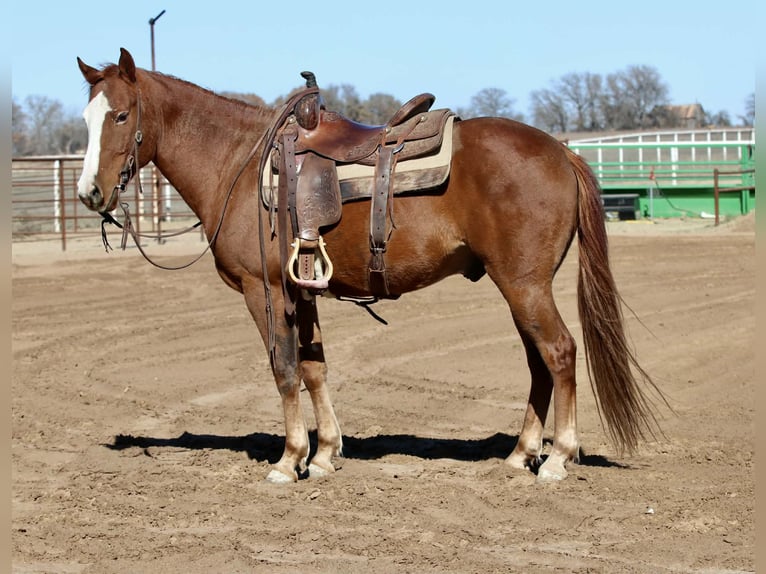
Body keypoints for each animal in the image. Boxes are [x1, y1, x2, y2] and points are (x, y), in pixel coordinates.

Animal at [75, 48, 663, 484]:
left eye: (122, 115)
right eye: (86, 118)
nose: (89, 193)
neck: (239, 163)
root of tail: (564, 152)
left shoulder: (263, 290)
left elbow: (284, 369)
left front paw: (288, 460)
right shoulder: (302, 289)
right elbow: (314, 367)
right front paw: (324, 453)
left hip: (525, 285)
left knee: (559, 353)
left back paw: (558, 457)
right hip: (519, 288)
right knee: (539, 362)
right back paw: (521, 453)